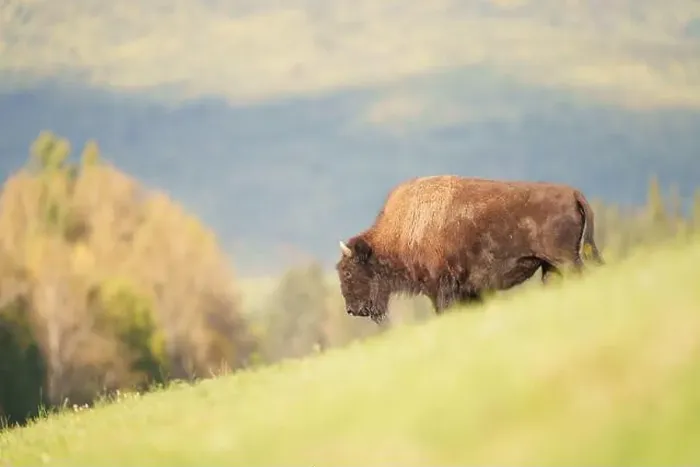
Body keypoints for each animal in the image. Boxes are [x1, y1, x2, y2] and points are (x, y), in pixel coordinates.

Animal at [336, 175, 604, 324]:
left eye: (348, 272)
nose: (351, 310)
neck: (402, 230)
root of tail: (573, 194)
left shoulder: (441, 289)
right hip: (551, 266)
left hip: (565, 260)